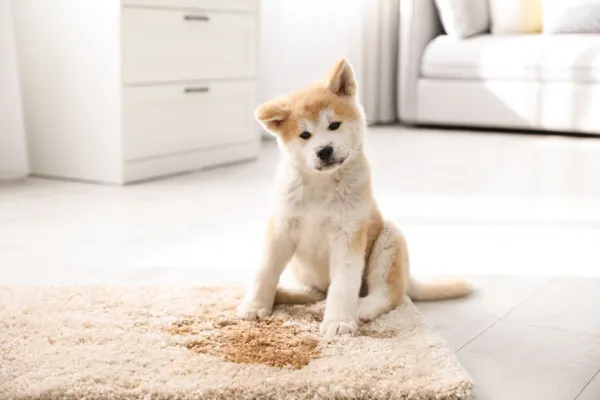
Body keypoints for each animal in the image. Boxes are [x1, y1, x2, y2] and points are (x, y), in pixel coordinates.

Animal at [237, 57, 472, 338]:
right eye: (304, 135)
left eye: (333, 125)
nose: (324, 150)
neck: (321, 185)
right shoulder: (282, 227)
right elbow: (266, 269)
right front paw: (255, 304)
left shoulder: (348, 233)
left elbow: (343, 285)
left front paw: (338, 321)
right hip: (304, 270)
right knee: (315, 293)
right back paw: (287, 295)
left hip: (389, 240)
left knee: (388, 295)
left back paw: (359, 309)